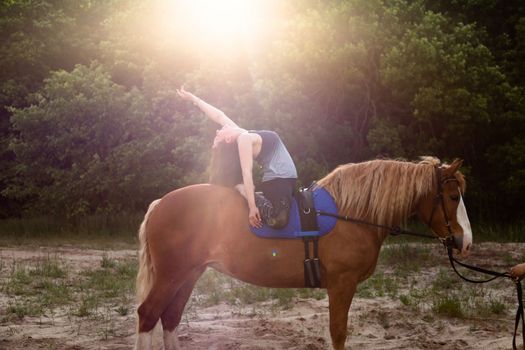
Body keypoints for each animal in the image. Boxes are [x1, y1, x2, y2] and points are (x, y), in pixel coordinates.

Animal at [134, 157, 470, 348]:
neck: (349, 214)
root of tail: (161, 203)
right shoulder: (342, 285)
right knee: (148, 315)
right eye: (453, 196)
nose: (465, 241)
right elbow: (338, 333)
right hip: (172, 275)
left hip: (189, 274)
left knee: (170, 317)